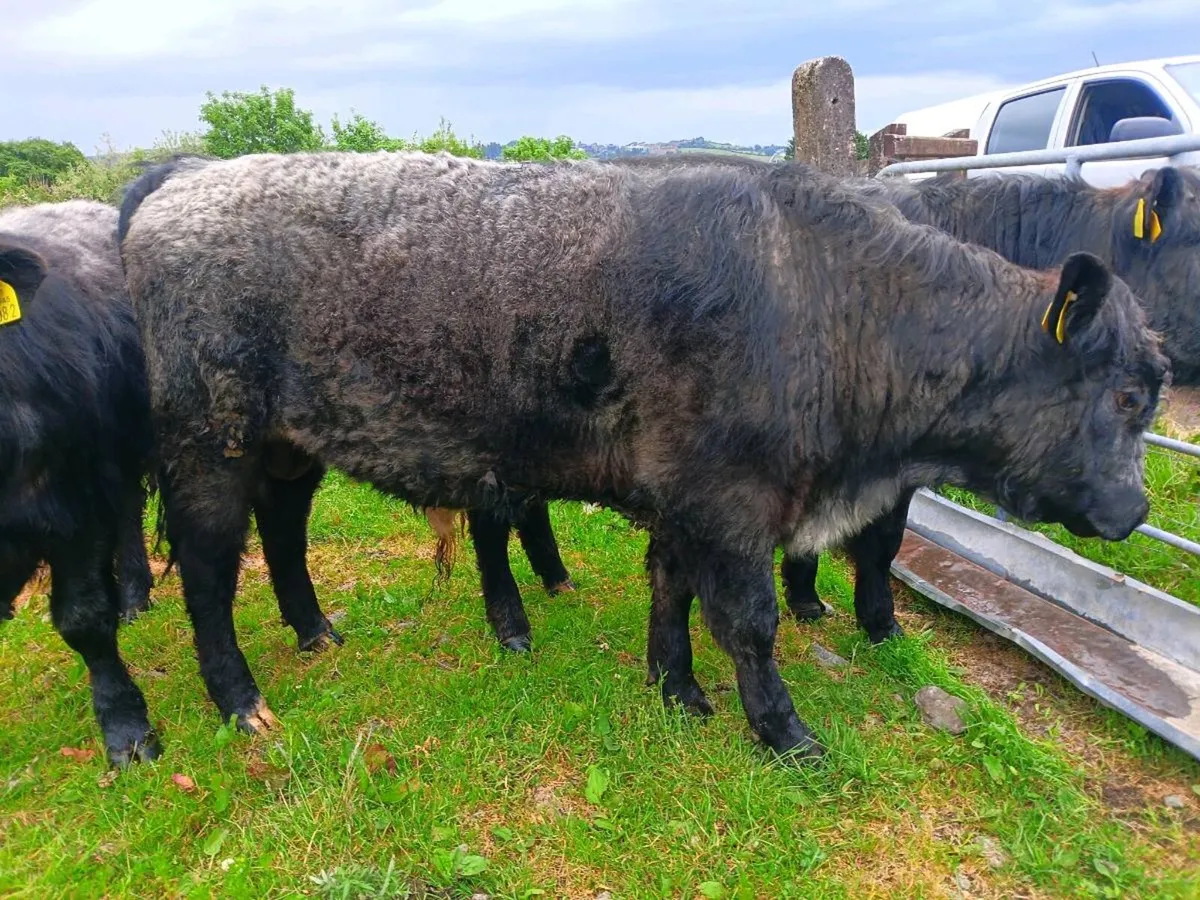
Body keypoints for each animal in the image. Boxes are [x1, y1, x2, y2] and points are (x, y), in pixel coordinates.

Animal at [117, 151, 1166, 762]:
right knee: (208, 573)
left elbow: (671, 589)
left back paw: (314, 630)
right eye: (1124, 396)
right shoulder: (733, 506)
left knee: (283, 535)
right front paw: (782, 731)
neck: (821, 295)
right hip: (208, 448)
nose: (1137, 512)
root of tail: (184, 175)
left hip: (287, 448)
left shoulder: (687, 501)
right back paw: (239, 700)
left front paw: (676, 688)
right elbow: (748, 622)